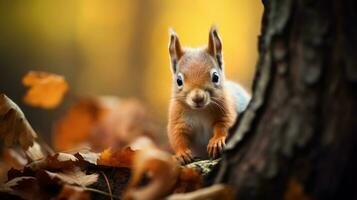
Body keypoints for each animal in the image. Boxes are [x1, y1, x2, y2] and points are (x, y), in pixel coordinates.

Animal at [167, 26, 250, 164]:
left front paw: (216, 142)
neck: (200, 111)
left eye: (215, 77)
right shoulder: (177, 118)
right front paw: (181, 153)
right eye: (179, 81)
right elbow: (177, 135)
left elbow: (225, 125)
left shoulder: (225, 110)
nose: (198, 98)